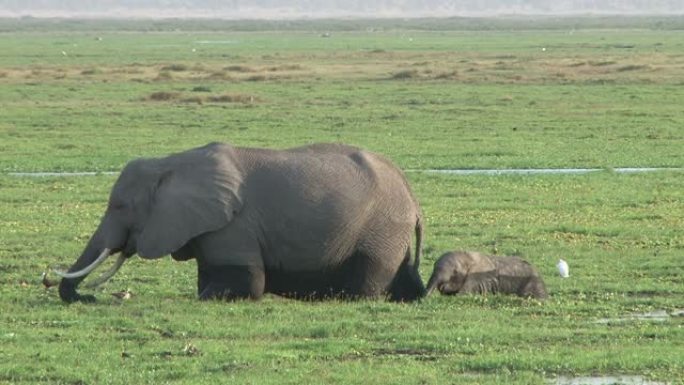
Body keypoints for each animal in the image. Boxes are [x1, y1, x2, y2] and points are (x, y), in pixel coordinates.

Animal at [56, 142, 424, 302]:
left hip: (381, 229)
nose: (90, 299)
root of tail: (414, 200)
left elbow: (244, 283)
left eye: (120, 206)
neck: (171, 163)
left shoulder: (234, 226)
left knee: (365, 283)